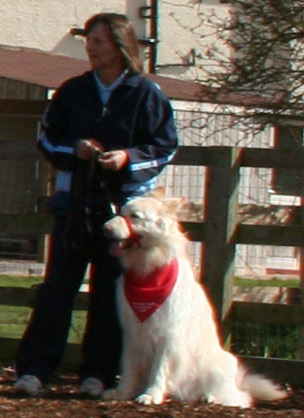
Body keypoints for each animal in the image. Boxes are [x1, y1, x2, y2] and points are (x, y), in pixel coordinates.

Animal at [102, 196, 288, 408]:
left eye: (135, 216)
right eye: (120, 212)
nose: (104, 228)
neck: (148, 273)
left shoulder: (168, 335)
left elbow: (159, 370)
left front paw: (151, 394)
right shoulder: (133, 334)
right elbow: (129, 367)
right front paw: (122, 392)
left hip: (221, 365)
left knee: (240, 397)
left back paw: (210, 397)